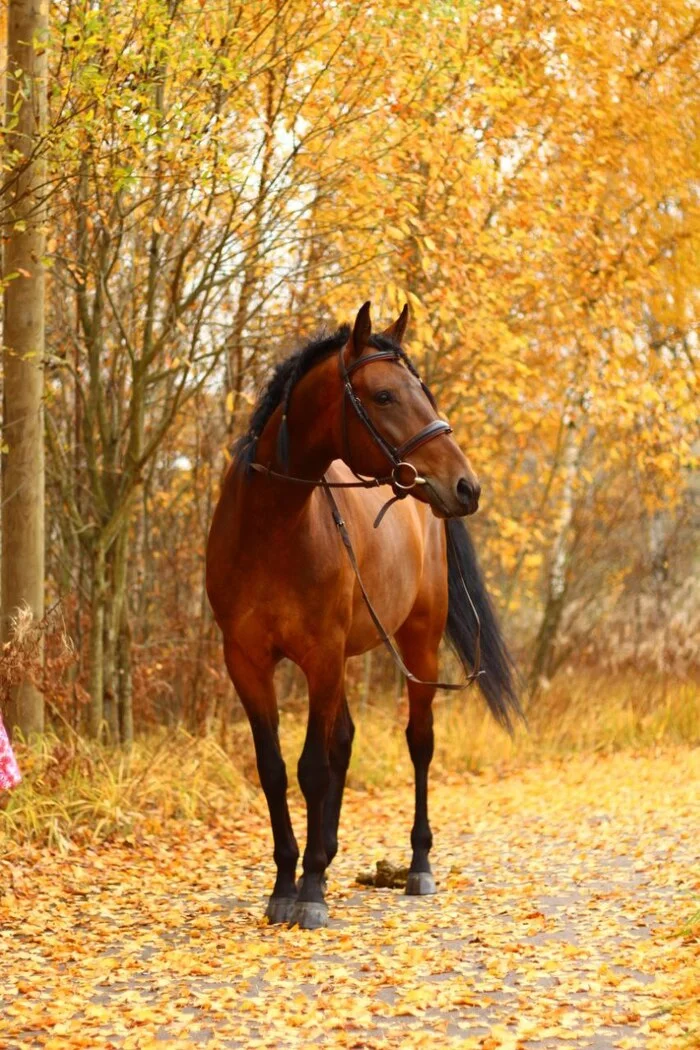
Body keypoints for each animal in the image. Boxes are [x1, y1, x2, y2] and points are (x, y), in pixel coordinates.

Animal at [205, 302, 518, 928]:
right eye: (384, 396)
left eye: (421, 391)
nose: (466, 486)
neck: (270, 528)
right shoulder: (247, 662)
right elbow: (275, 769)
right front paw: (287, 882)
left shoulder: (321, 658)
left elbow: (312, 768)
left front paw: (309, 893)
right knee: (344, 740)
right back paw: (326, 856)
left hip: (417, 645)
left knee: (418, 743)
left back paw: (418, 866)